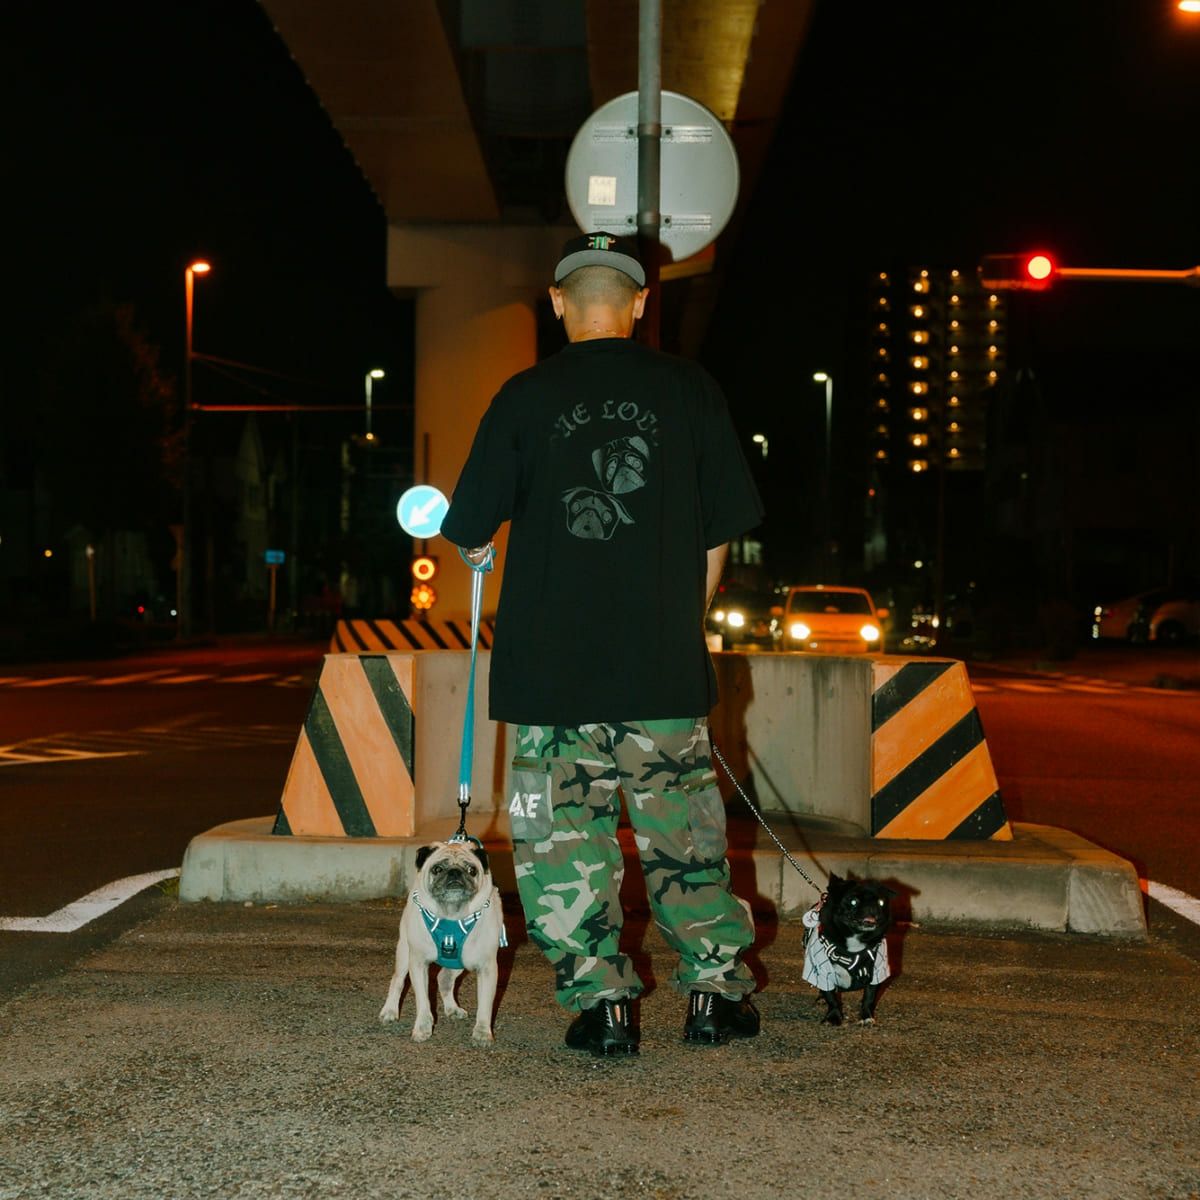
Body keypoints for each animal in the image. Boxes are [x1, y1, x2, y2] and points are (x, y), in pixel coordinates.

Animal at [379, 839, 506, 1045]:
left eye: (472, 870)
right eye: (437, 869)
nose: (454, 872)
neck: (452, 914)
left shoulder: (487, 968)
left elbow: (486, 1005)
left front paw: (482, 1032)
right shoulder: (418, 962)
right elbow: (423, 1001)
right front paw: (423, 1027)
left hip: (459, 962)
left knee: (444, 979)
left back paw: (452, 1009)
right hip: (404, 952)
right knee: (397, 980)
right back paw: (389, 1011)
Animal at [802, 874, 895, 1026]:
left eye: (881, 902)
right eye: (853, 902)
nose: (872, 908)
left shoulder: (877, 971)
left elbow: (869, 997)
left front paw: (866, 1016)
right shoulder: (822, 970)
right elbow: (831, 997)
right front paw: (833, 1017)